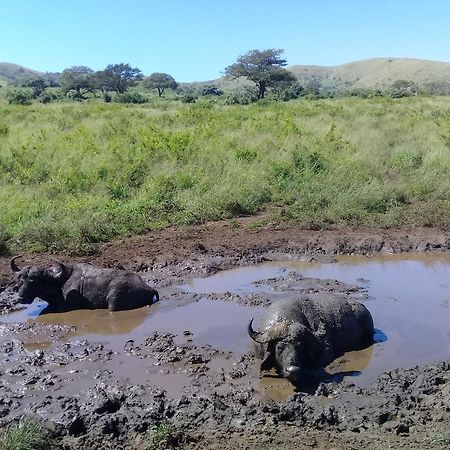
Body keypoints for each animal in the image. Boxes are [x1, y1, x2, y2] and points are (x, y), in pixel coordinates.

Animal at [9, 256, 160, 312]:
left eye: (33, 280)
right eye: (21, 280)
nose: (20, 298)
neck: (59, 282)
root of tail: (148, 288)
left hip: (114, 298)